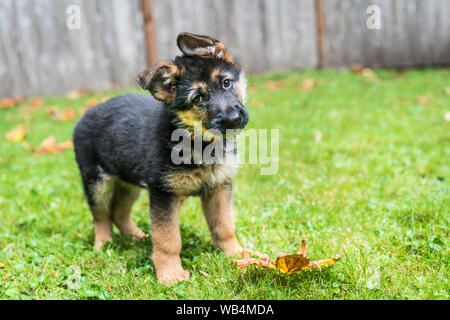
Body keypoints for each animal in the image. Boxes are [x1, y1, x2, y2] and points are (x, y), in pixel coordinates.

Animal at [74, 31, 250, 282]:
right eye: (198, 99)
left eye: (226, 83)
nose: (234, 120)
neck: (196, 140)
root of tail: (86, 113)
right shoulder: (162, 193)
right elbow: (168, 239)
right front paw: (171, 275)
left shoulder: (219, 187)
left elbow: (225, 227)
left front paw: (238, 255)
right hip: (97, 182)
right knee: (101, 215)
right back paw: (103, 246)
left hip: (128, 183)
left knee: (118, 212)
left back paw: (137, 238)